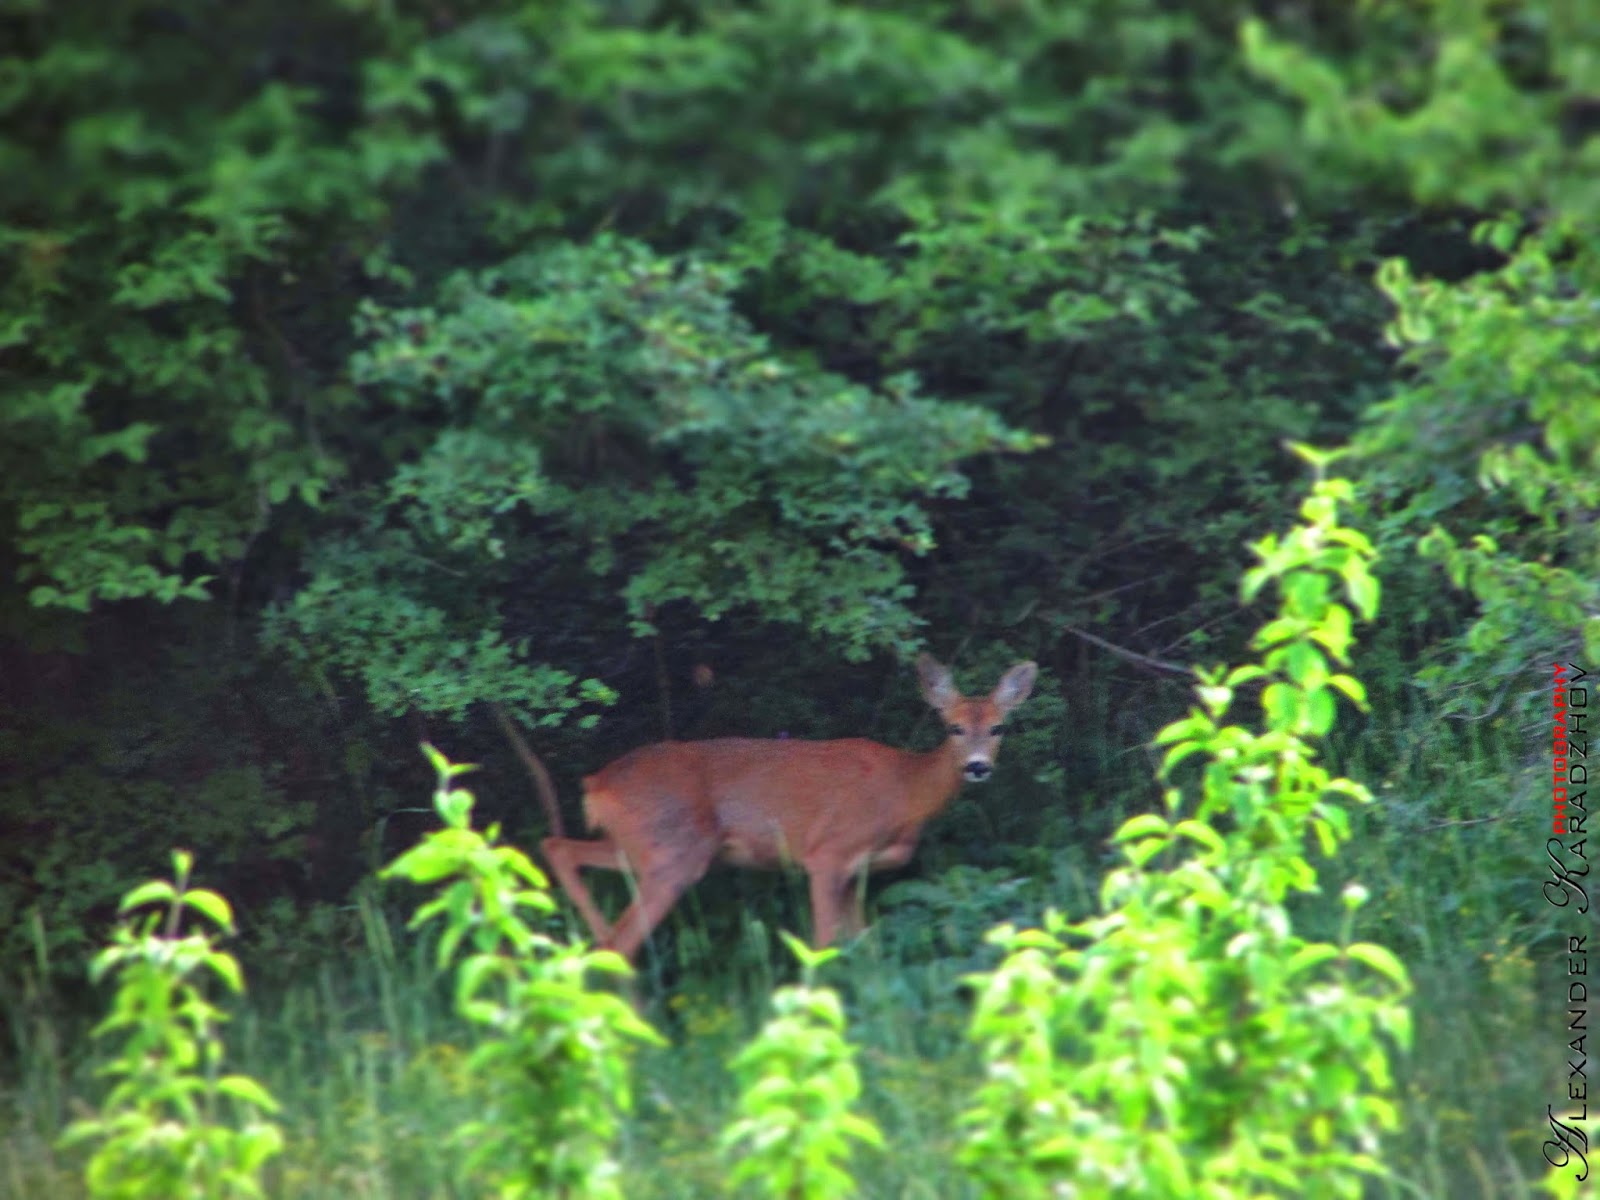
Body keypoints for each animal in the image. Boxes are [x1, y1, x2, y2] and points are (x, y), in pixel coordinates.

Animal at [499, 652, 1036, 966]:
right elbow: (822, 943)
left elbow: (864, 941)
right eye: (954, 727)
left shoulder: (856, 871)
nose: (978, 768)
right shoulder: (827, 855)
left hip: (640, 846)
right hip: (674, 853)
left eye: (998, 727)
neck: (906, 792)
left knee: (560, 849)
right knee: (622, 937)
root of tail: (597, 785)